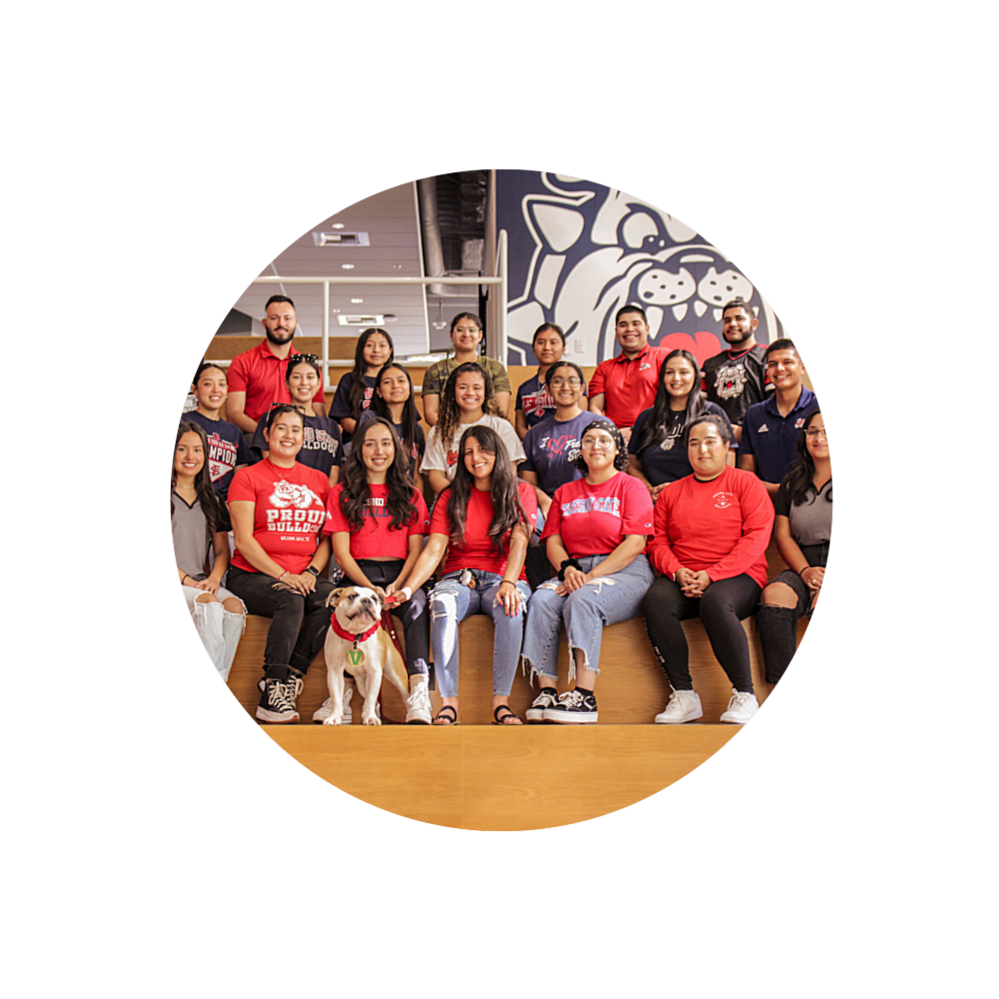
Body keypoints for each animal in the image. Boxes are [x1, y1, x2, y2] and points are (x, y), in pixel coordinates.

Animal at [322, 586, 413, 726]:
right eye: (352, 596)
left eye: (374, 598)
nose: (366, 600)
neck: (355, 635)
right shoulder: (335, 672)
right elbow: (336, 697)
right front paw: (334, 717)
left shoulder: (374, 672)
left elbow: (371, 697)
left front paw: (370, 717)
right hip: (361, 683)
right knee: (373, 701)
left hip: (396, 674)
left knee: (405, 696)